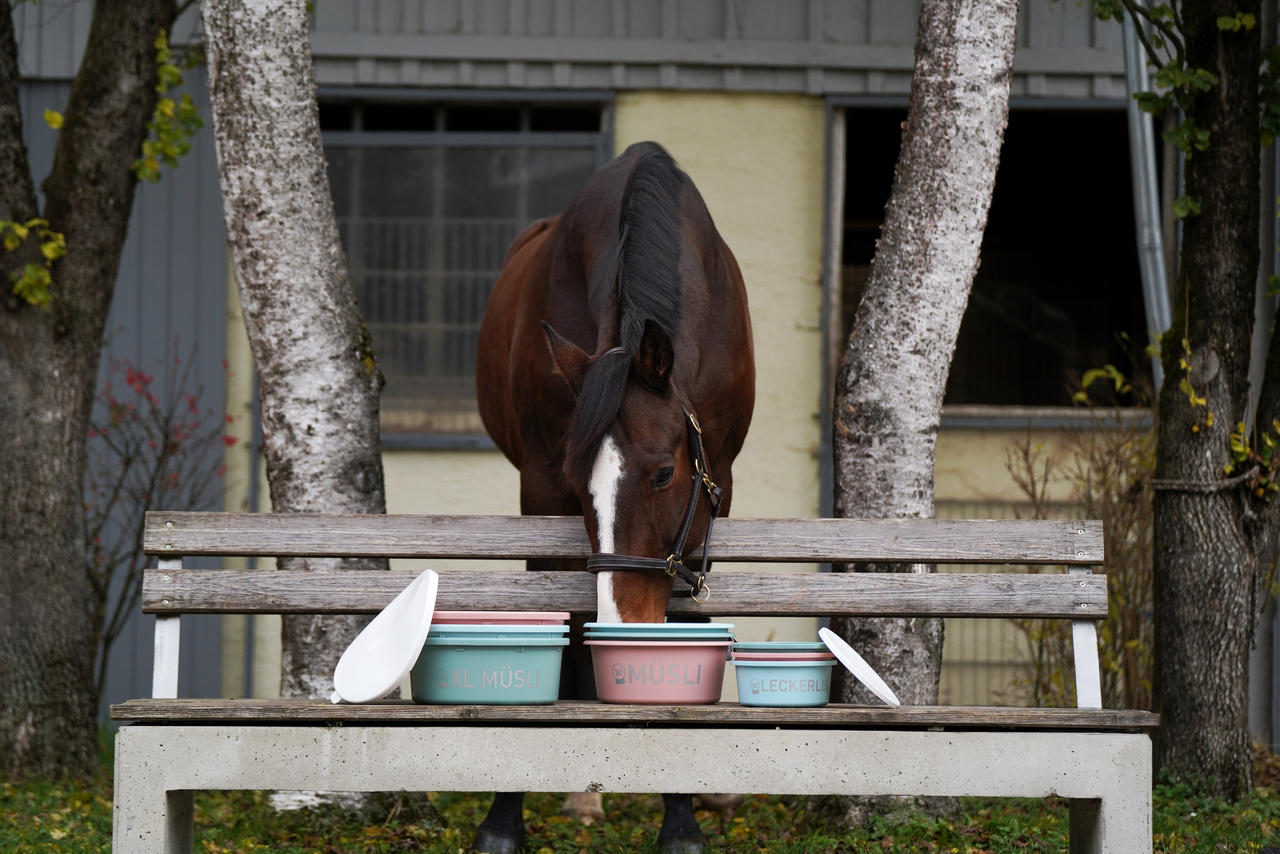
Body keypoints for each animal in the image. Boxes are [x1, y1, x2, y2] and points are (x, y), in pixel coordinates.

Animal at [471, 142, 747, 854]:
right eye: (578, 484)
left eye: (662, 474)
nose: (625, 624)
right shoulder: (541, 484)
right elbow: (555, 628)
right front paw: (504, 817)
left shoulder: (717, 486)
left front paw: (682, 819)